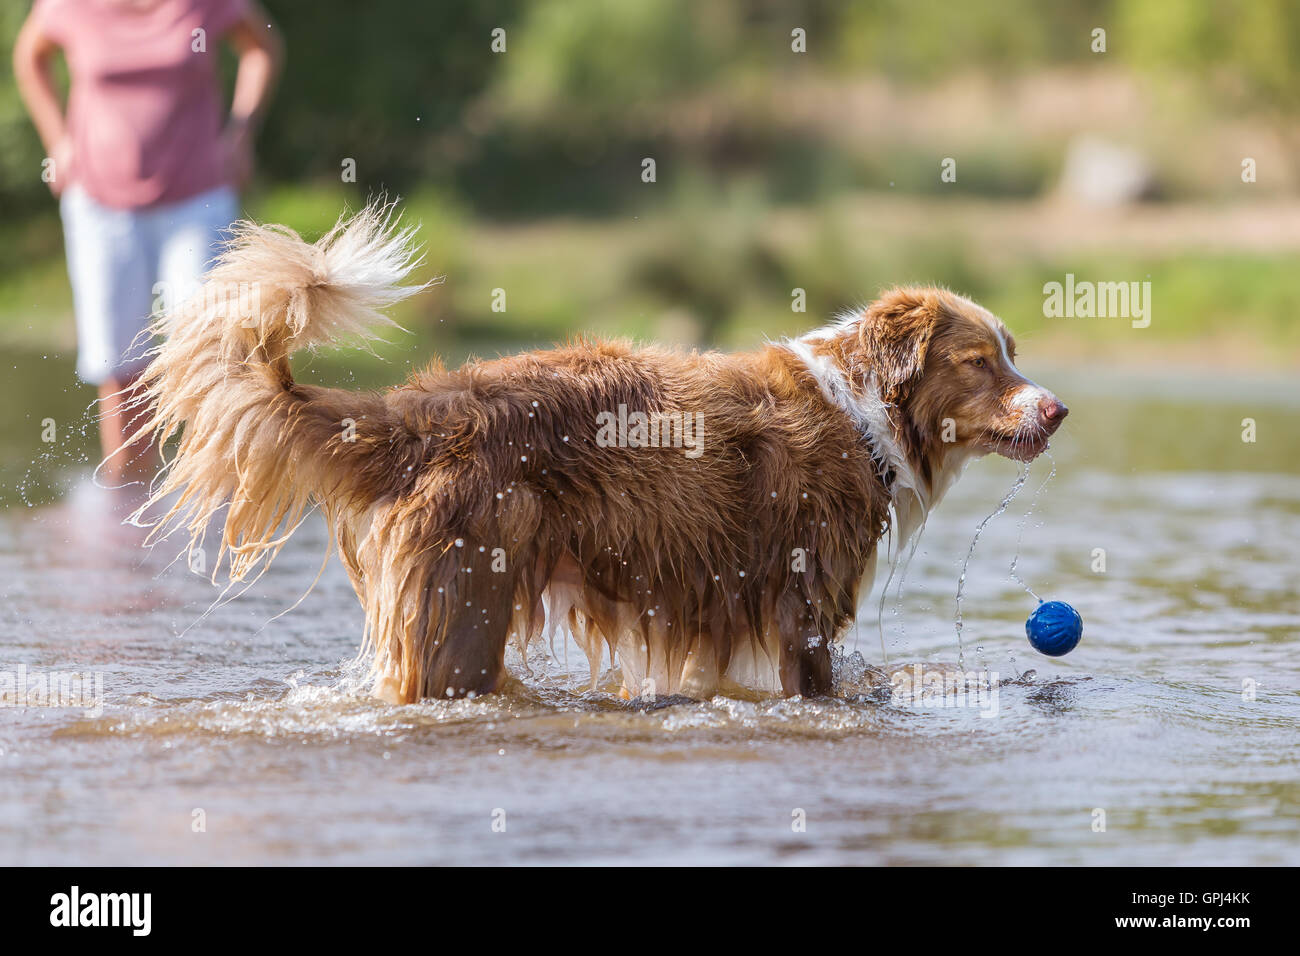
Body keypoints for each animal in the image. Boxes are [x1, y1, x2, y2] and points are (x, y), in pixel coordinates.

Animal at [129, 208, 1066, 702]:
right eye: (978, 362)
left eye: (1013, 353)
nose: (1057, 410)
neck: (864, 412)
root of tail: (419, 408)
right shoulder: (802, 607)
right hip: (465, 606)